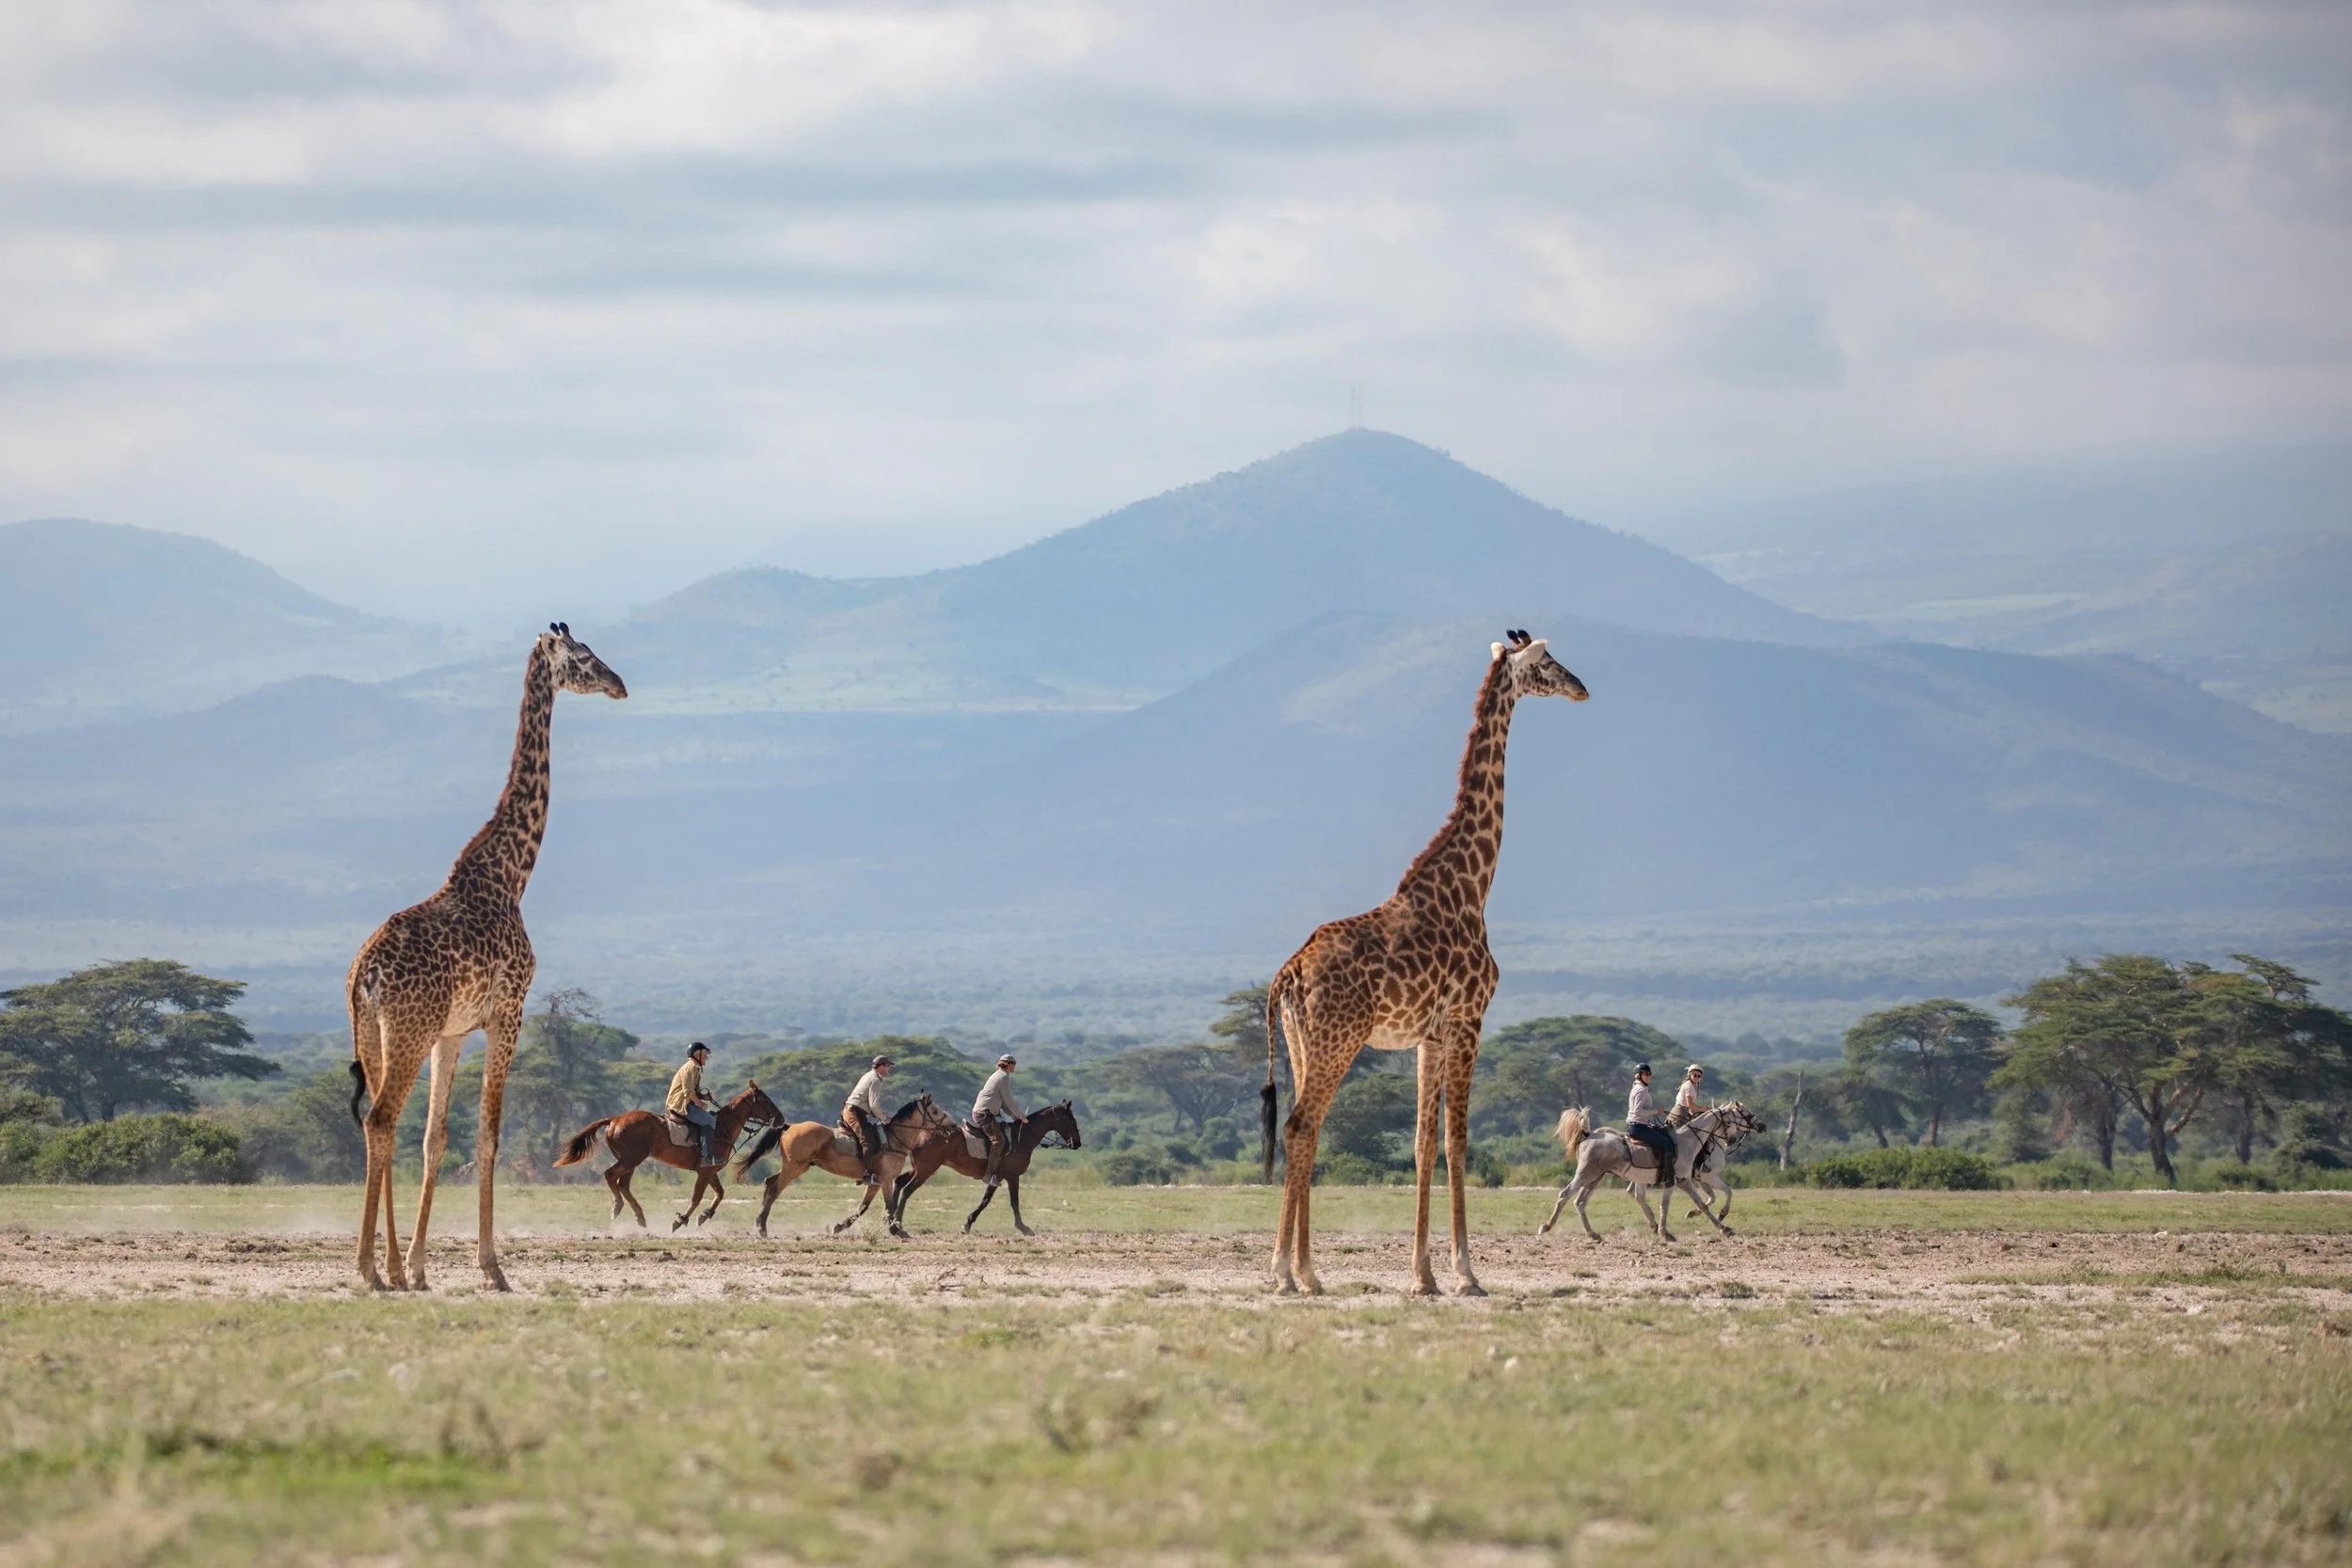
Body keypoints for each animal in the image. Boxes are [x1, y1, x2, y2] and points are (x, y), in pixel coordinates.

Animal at [553, 1082, 784, 1233]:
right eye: (765, 1101)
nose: (781, 1120)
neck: (722, 1127)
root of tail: (614, 1119)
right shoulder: (705, 1172)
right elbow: (697, 1197)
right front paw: (680, 1220)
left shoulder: (710, 1171)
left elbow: (720, 1193)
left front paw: (704, 1216)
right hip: (631, 1159)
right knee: (611, 1176)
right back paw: (617, 1207)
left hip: (631, 1161)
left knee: (623, 1184)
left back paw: (640, 1217)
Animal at [731, 1093, 959, 1240]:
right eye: (935, 1110)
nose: (953, 1126)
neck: (895, 1139)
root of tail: (790, 1126)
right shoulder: (886, 1180)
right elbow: (888, 1206)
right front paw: (897, 1231)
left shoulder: (875, 1182)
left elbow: (863, 1207)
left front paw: (839, 1227)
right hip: (793, 1169)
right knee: (774, 1189)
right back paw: (761, 1227)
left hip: (796, 1168)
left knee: (769, 1183)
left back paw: (760, 1224)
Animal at [888, 1100, 1081, 1236]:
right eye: (1071, 1119)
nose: (1078, 1143)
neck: (1022, 1138)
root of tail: (920, 1134)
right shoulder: (1011, 1176)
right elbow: (1012, 1202)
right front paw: (1023, 1227)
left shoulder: (997, 1177)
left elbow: (986, 1200)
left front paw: (968, 1223)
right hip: (926, 1170)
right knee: (907, 1189)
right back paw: (897, 1223)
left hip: (918, 1168)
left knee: (898, 1183)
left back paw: (890, 1220)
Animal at [1537, 1102, 1766, 1243]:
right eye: (1745, 1114)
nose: (1762, 1126)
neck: (1688, 1141)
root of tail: (1588, 1134)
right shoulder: (1682, 1180)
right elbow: (1695, 1203)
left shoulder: (1681, 1181)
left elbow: (1694, 1204)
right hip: (1586, 1174)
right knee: (1565, 1195)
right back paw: (1546, 1227)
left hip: (1596, 1177)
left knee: (1580, 1202)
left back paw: (1593, 1234)